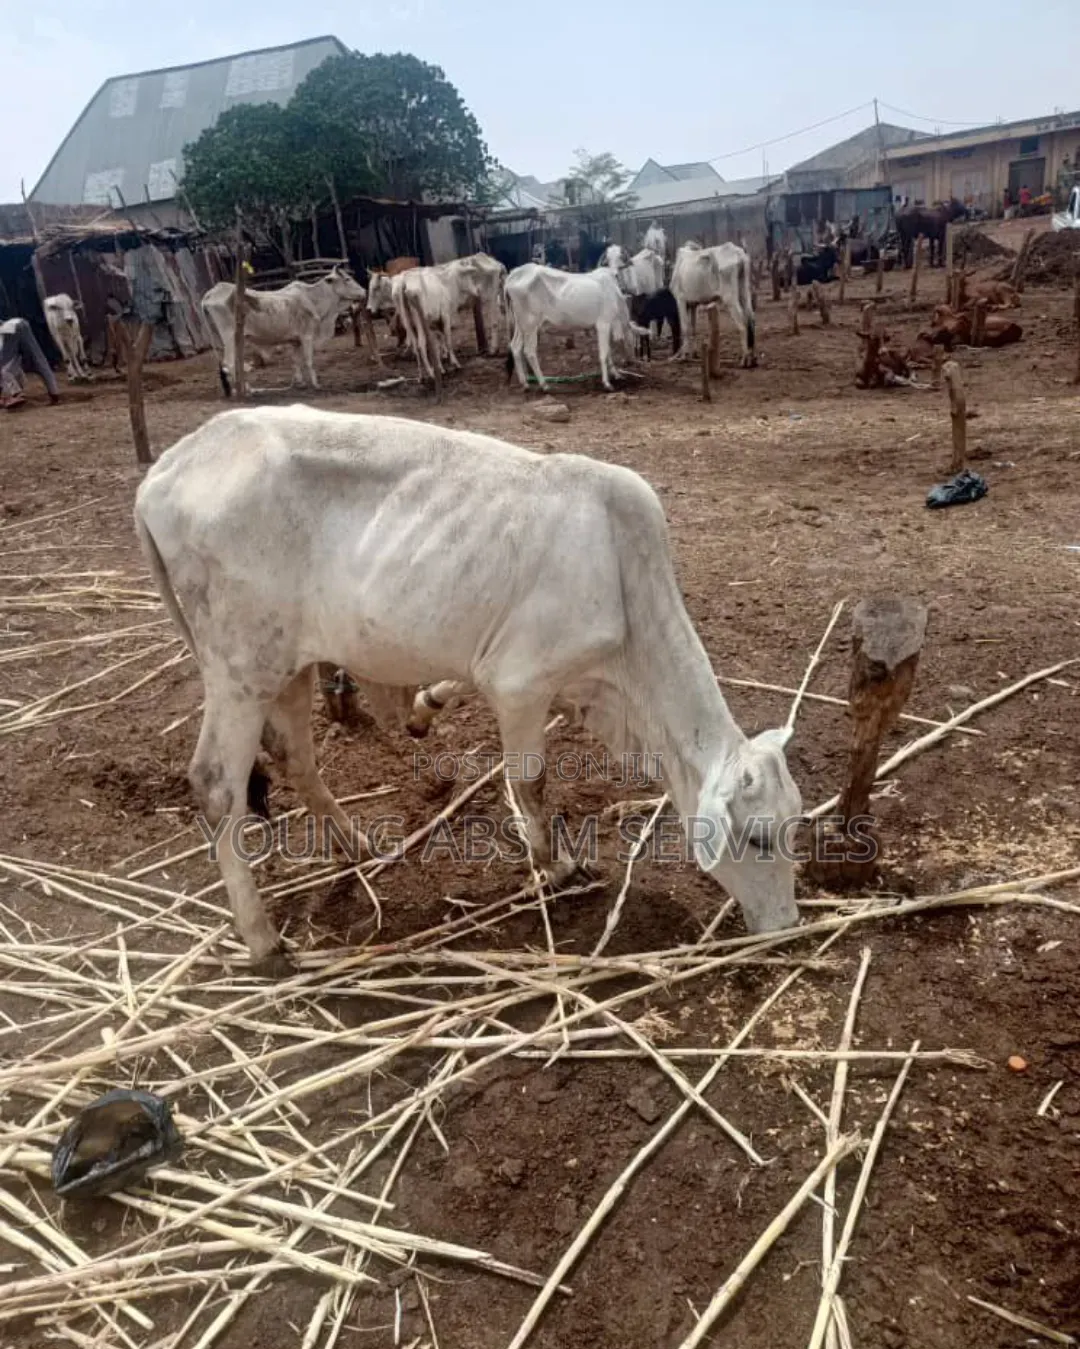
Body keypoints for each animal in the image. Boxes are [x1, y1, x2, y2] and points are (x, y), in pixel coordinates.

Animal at [134, 404, 805, 972]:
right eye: (757, 838)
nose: (788, 927)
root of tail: (168, 469)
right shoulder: (523, 685)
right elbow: (531, 783)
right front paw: (559, 868)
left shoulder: (506, 667)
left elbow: (452, 689)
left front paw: (424, 709)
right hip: (240, 670)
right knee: (216, 785)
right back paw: (264, 942)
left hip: (288, 663)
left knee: (295, 755)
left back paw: (355, 845)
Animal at [201, 265, 365, 393]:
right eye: (347, 279)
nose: (364, 291)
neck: (313, 299)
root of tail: (211, 293)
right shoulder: (307, 336)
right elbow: (308, 360)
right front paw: (316, 384)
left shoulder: (295, 341)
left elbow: (296, 361)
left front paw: (300, 383)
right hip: (230, 337)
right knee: (229, 364)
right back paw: (244, 390)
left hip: (223, 341)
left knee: (229, 365)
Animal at [503, 263, 648, 391]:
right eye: (633, 339)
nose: (633, 361)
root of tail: (512, 276)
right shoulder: (603, 324)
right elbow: (604, 353)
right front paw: (607, 383)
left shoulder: (600, 327)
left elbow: (608, 353)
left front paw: (617, 375)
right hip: (531, 325)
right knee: (529, 351)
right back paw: (544, 384)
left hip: (521, 325)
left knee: (515, 347)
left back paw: (525, 383)